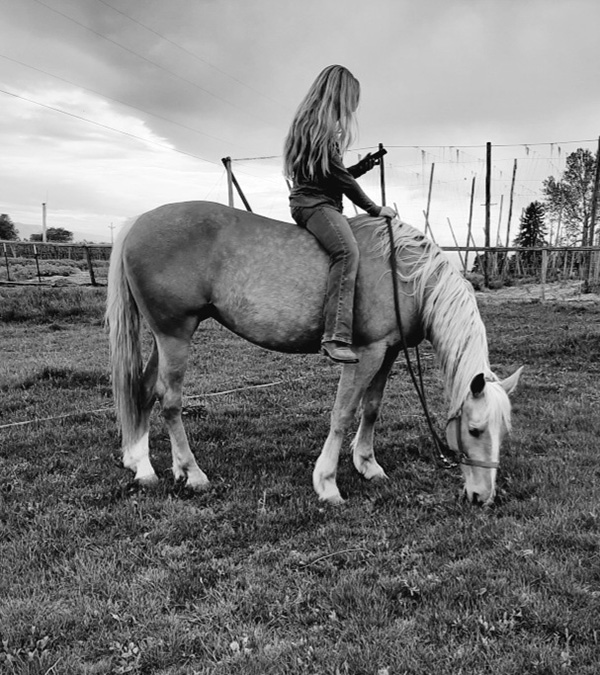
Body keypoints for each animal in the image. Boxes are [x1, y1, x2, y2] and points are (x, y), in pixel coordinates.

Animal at [106, 201, 523, 506]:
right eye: (474, 429)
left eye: (504, 431)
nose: (482, 496)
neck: (404, 274)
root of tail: (139, 221)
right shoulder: (366, 353)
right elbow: (343, 413)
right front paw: (327, 483)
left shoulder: (387, 352)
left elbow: (371, 408)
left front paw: (367, 465)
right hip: (175, 334)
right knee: (170, 400)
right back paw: (191, 473)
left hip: (166, 337)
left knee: (144, 390)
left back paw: (142, 466)